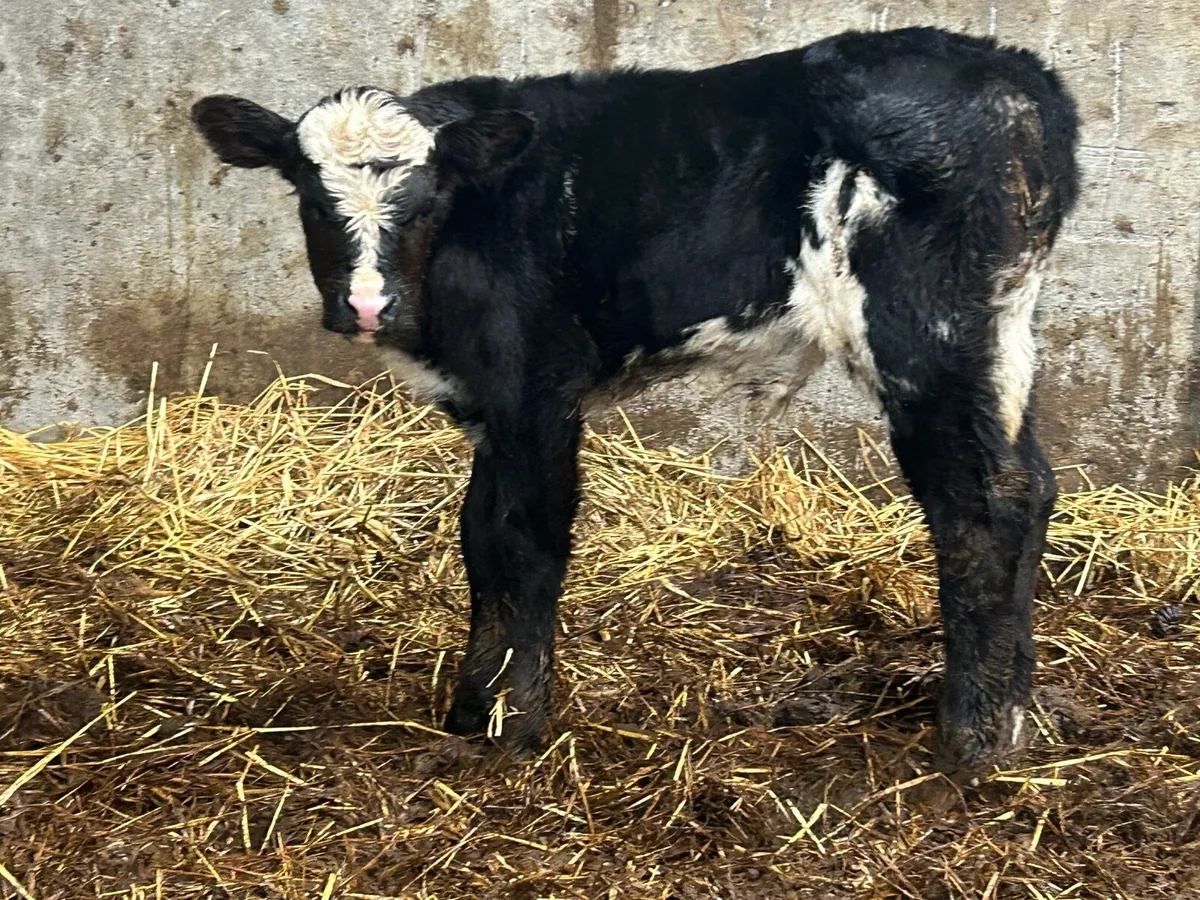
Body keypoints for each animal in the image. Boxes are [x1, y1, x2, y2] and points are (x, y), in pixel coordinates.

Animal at [191, 26, 1080, 776]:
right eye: (311, 198)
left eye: (427, 200)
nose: (370, 307)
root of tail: (1018, 74)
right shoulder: (489, 402)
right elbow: (478, 537)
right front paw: (468, 709)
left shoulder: (541, 383)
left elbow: (529, 541)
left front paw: (519, 728)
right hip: (1000, 333)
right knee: (1030, 484)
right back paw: (1014, 720)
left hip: (925, 334)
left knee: (978, 502)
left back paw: (968, 741)